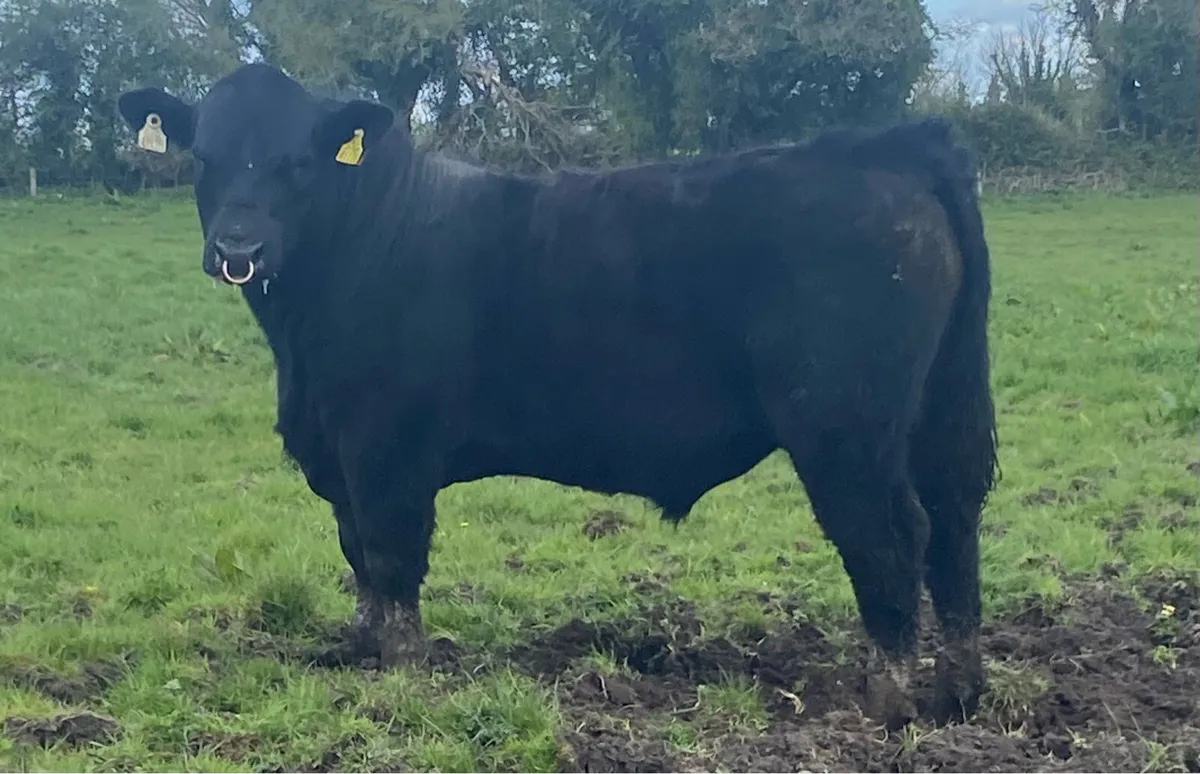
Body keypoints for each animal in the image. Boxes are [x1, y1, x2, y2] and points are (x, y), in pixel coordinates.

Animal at [117, 63, 998, 730]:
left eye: (296, 163)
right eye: (204, 159)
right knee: (955, 525)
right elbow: (357, 556)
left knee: (892, 536)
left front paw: (400, 673)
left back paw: (887, 699)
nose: (237, 247)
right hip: (940, 409)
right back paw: (958, 690)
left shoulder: (386, 447)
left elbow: (392, 558)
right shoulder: (336, 451)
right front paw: (358, 648)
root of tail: (888, 146)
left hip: (843, 426)